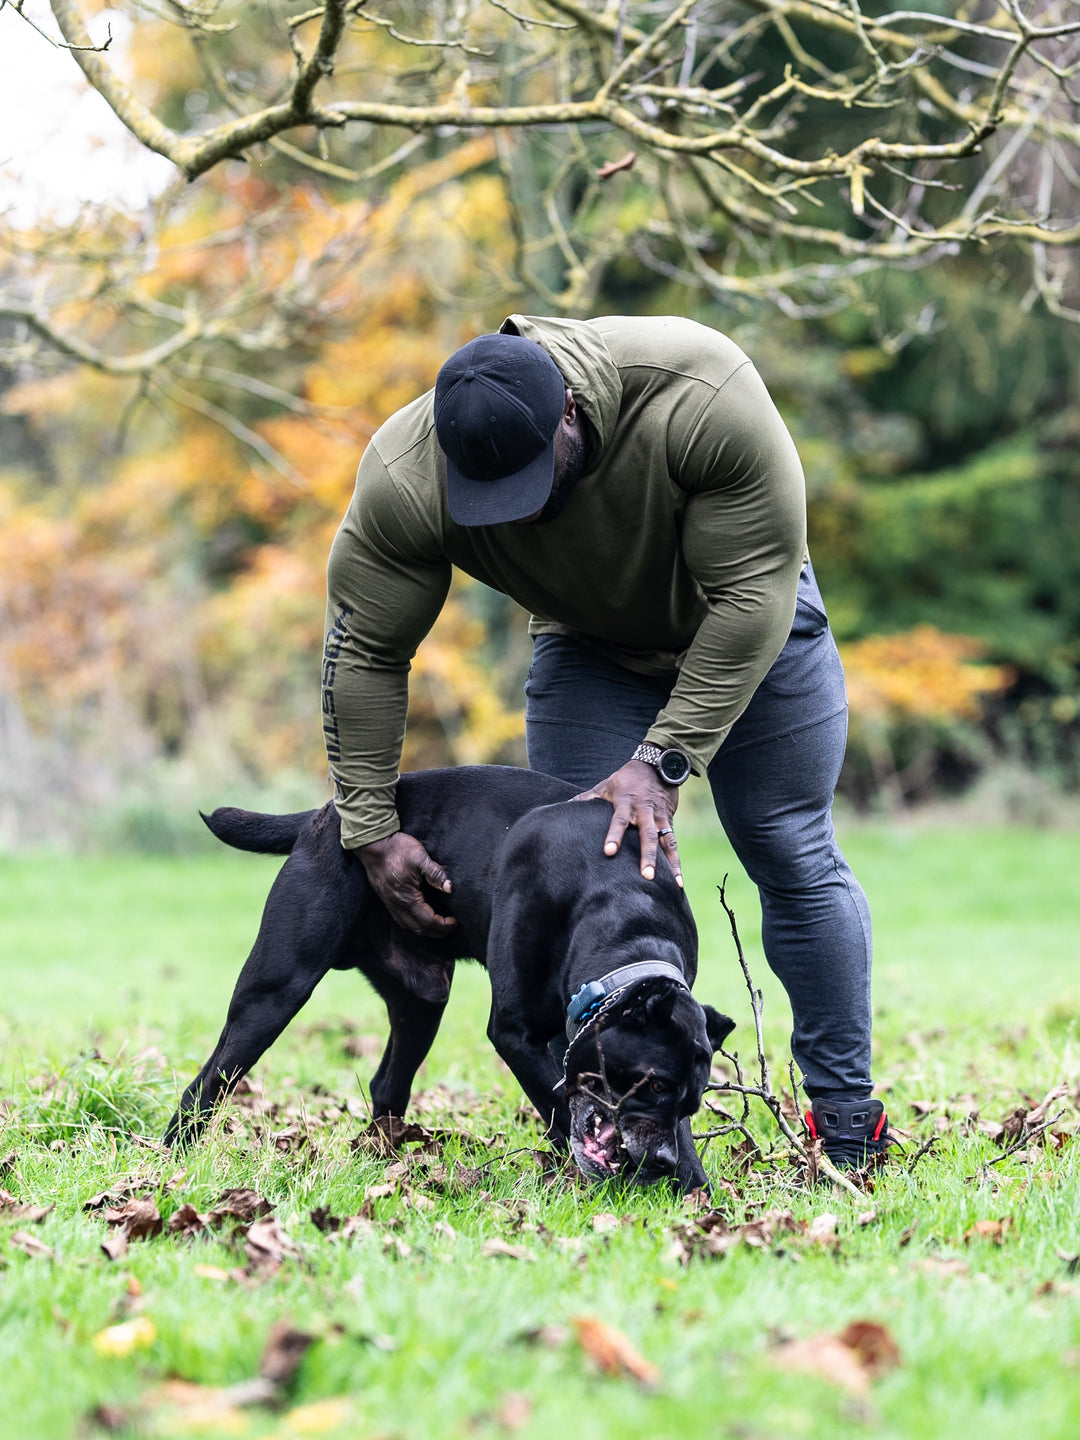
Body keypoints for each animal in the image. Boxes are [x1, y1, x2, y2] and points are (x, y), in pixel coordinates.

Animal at [167, 766, 737, 1192]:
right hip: (275, 988)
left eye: (692, 1100)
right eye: (653, 1083)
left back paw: (386, 1164)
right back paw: (175, 1157)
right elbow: (558, 1108)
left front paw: (690, 1186)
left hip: (421, 1003)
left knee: (387, 1083)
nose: (660, 1162)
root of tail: (325, 815)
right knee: (210, 1080)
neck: (625, 916)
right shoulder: (515, 1033)